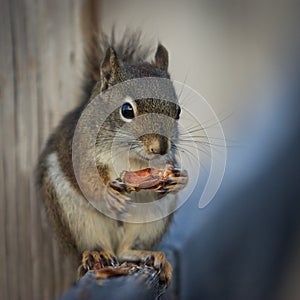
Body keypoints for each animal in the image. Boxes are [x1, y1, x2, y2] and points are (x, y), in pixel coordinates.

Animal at [36, 31, 189, 288]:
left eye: (177, 111)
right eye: (127, 111)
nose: (159, 148)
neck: (130, 156)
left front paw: (179, 179)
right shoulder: (77, 151)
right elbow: (85, 178)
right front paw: (108, 194)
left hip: (150, 220)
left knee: (127, 249)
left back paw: (150, 256)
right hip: (75, 218)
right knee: (94, 246)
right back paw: (97, 253)